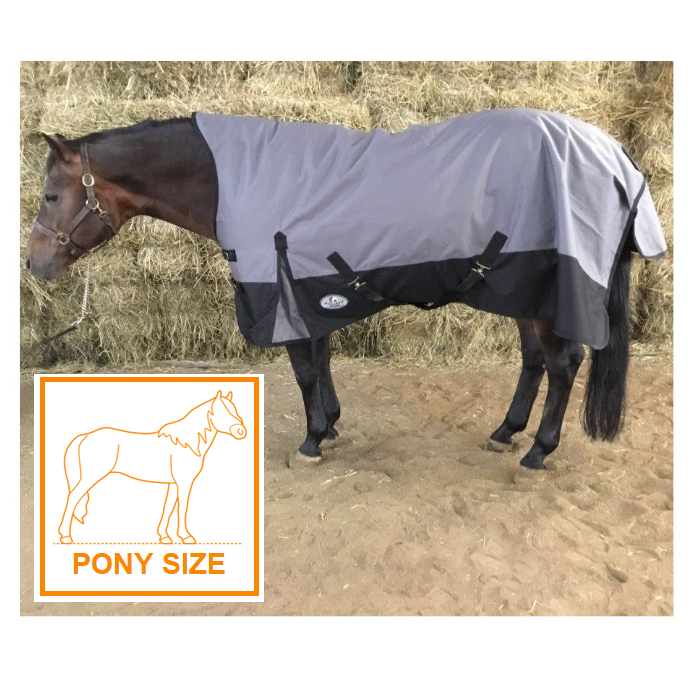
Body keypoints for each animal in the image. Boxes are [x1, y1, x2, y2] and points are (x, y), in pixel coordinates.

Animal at [24, 112, 664, 470]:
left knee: (564, 363)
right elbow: (321, 359)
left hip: (552, 286)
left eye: (51, 195)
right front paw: (329, 424)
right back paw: (506, 432)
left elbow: (306, 368)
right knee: (535, 361)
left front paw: (312, 441)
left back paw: (538, 450)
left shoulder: (278, 290)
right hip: (521, 288)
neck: (236, 177)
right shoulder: (307, 287)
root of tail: (614, 154)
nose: (34, 263)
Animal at [57, 390, 247, 544]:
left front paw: (164, 537)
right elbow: (182, 508)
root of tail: (85, 435)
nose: (241, 432)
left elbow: (168, 508)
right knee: (73, 497)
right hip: (91, 477)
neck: (185, 443)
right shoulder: (184, 483)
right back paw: (65, 536)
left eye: (234, 410)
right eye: (222, 412)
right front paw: (186, 537)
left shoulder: (173, 483)